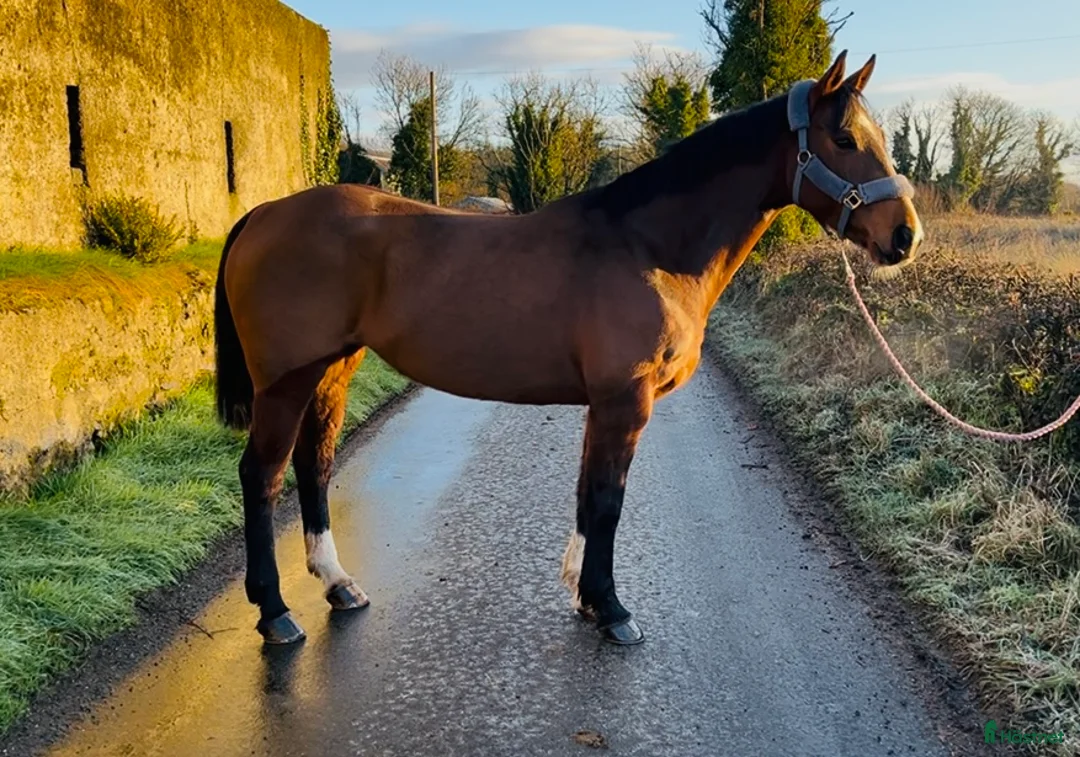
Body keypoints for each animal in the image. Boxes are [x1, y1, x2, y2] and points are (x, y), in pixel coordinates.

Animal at [213, 51, 922, 646]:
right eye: (843, 140)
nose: (905, 236)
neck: (649, 247)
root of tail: (263, 213)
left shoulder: (603, 406)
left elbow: (588, 496)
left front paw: (586, 597)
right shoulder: (624, 401)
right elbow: (608, 500)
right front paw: (612, 610)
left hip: (333, 369)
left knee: (315, 466)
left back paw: (338, 586)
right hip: (285, 383)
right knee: (262, 476)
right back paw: (275, 613)